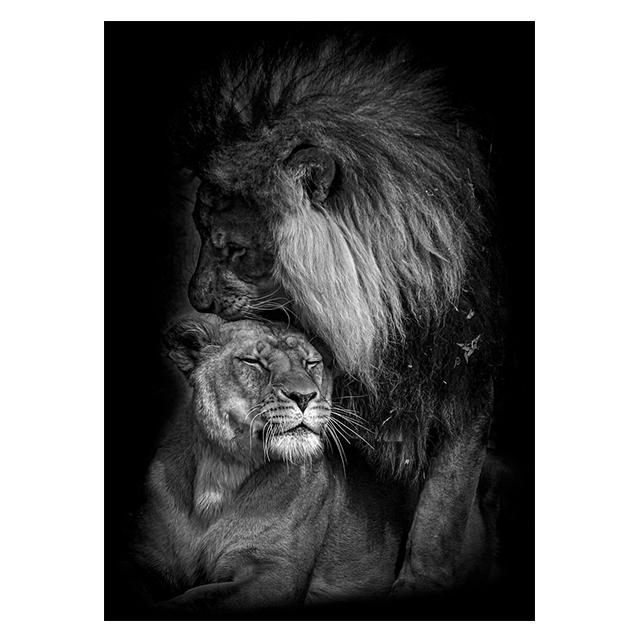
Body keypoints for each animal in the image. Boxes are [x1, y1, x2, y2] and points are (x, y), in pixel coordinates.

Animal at [132, 316, 403, 616]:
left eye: (311, 363)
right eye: (253, 362)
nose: (304, 396)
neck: (219, 475)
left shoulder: (275, 574)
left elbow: (197, 600)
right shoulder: (147, 560)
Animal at [173, 35, 507, 595]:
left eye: (234, 249)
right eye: (198, 230)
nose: (196, 300)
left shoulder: (465, 379)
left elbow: (444, 501)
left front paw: (419, 581)